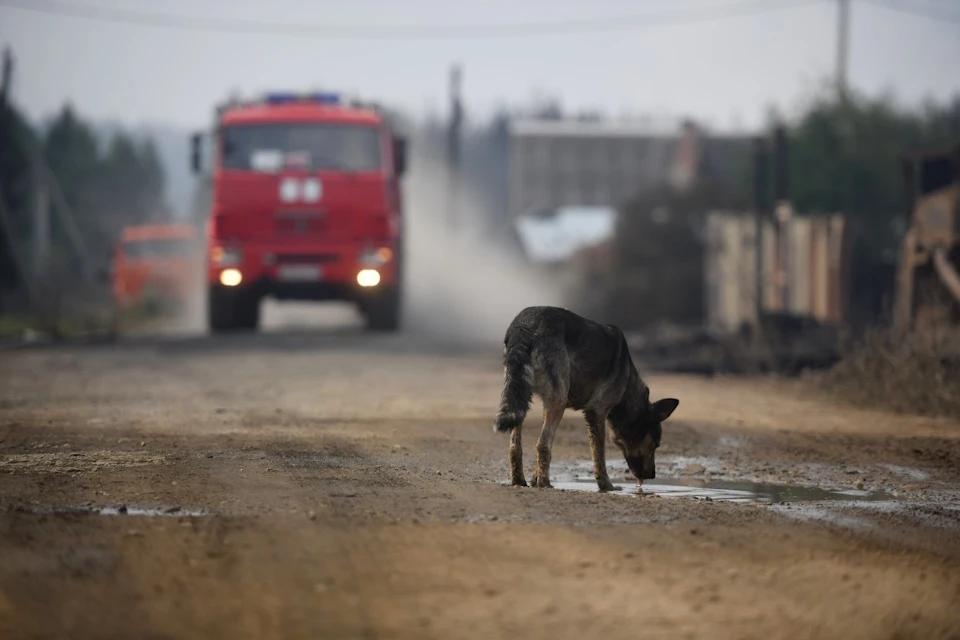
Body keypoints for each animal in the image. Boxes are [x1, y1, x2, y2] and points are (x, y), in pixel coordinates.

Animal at [492, 308, 680, 492]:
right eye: (655, 444)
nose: (652, 476)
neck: (628, 385)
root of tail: (524, 327)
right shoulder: (596, 413)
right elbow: (599, 455)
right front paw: (606, 486)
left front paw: (534, 478)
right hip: (557, 402)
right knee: (542, 444)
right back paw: (545, 484)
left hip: (520, 397)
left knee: (515, 447)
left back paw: (520, 481)